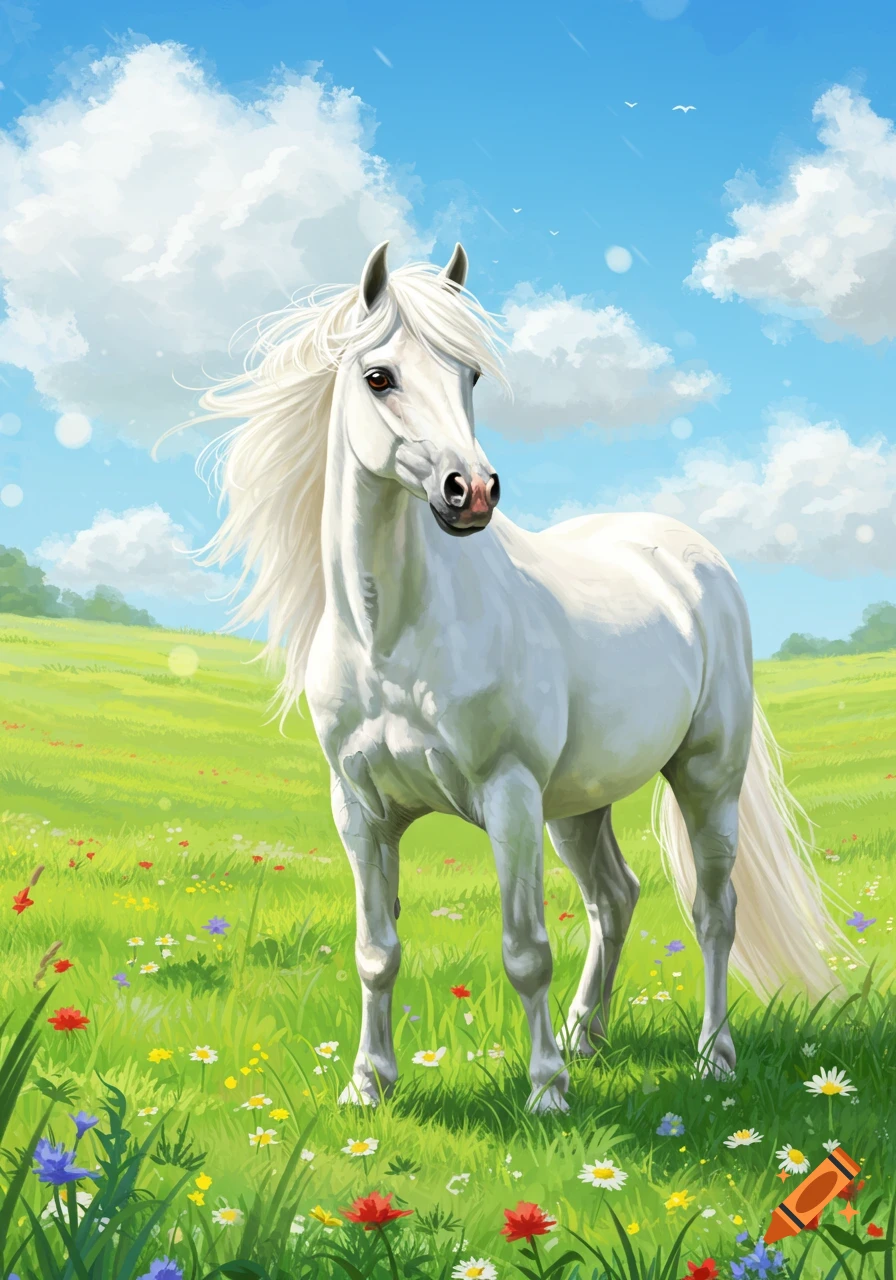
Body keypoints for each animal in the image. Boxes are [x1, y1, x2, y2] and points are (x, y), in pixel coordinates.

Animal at [182, 240, 843, 1113]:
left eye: (470, 375)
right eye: (379, 377)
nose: (471, 493)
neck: (395, 637)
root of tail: (692, 556)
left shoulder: (509, 795)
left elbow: (525, 948)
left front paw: (546, 1094)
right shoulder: (360, 809)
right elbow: (376, 951)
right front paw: (368, 1085)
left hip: (704, 779)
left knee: (713, 912)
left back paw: (712, 1057)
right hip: (581, 803)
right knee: (614, 898)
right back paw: (586, 1038)